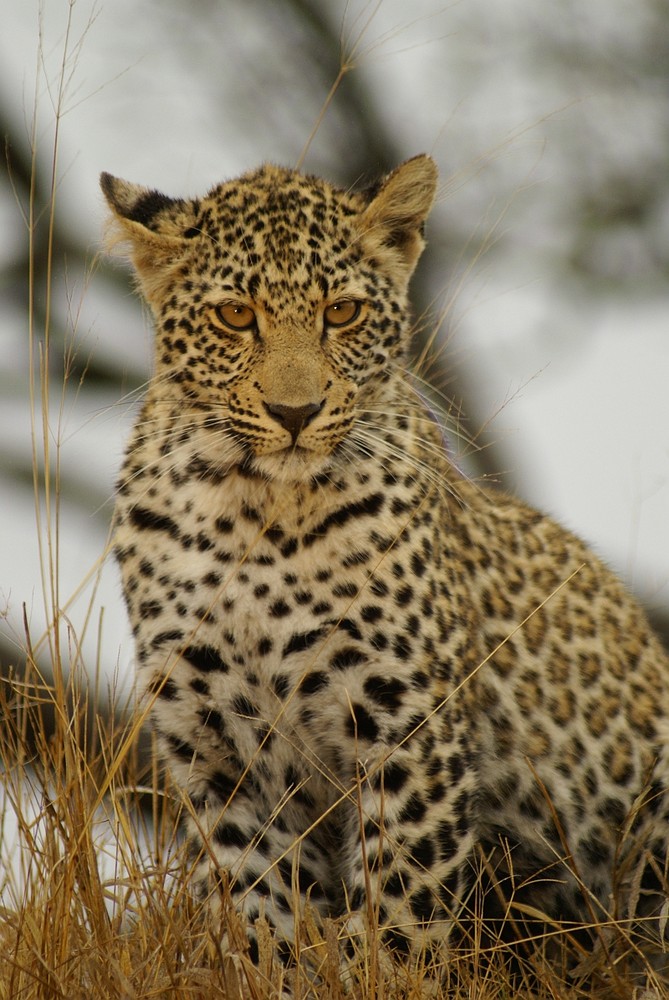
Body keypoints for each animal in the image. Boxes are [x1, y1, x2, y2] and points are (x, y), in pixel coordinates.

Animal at [102, 156, 668, 984]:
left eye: (340, 312)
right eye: (236, 316)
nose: (295, 413)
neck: (256, 514)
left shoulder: (406, 724)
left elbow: (400, 912)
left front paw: (380, 970)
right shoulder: (214, 744)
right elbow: (259, 905)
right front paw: (278, 971)